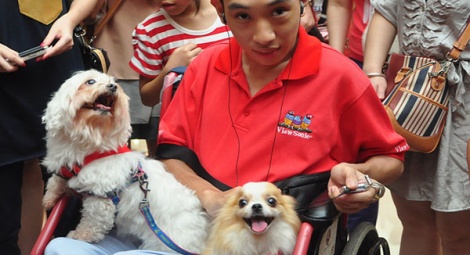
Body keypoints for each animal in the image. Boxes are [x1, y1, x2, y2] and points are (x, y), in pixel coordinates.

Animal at [41, 69, 207, 253]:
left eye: (114, 83)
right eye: (90, 81)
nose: (113, 86)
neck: (89, 140)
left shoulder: (101, 197)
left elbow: (92, 223)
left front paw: (80, 235)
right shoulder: (64, 162)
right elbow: (57, 179)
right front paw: (49, 197)